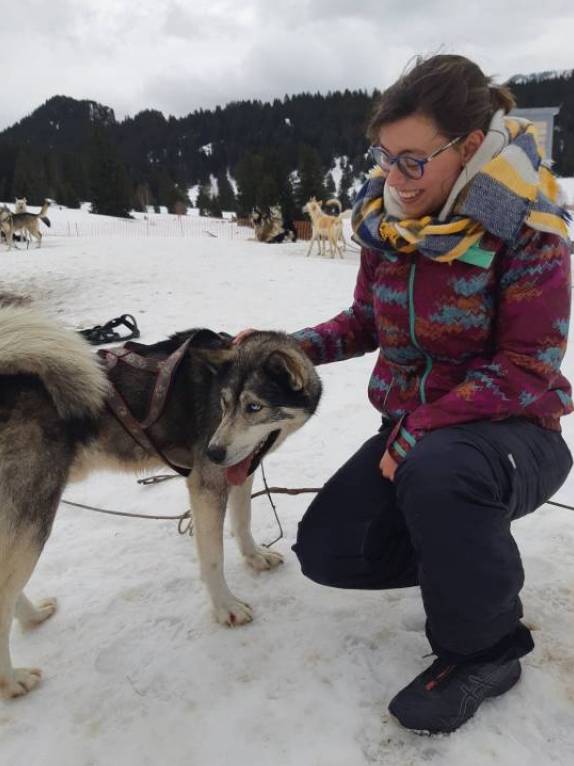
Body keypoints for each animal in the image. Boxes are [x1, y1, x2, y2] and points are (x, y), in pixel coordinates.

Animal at [0, 308, 324, 704]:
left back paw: (33, 617)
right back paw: (12, 680)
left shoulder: (241, 469)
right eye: (223, 404)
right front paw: (226, 608)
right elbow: (213, 558)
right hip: (34, 518)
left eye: (254, 407)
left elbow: (242, 521)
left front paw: (254, 557)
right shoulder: (206, 485)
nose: (214, 452)